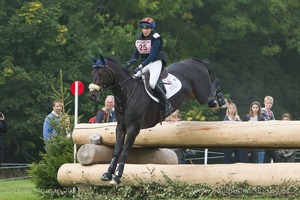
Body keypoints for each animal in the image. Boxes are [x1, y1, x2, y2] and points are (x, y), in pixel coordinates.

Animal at [88, 54, 226, 184]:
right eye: (92, 73)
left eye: (101, 73)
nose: (92, 96)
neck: (127, 94)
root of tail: (194, 61)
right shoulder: (121, 127)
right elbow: (116, 150)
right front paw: (107, 174)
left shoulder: (133, 128)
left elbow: (125, 151)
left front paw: (117, 176)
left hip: (202, 95)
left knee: (214, 88)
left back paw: (221, 101)